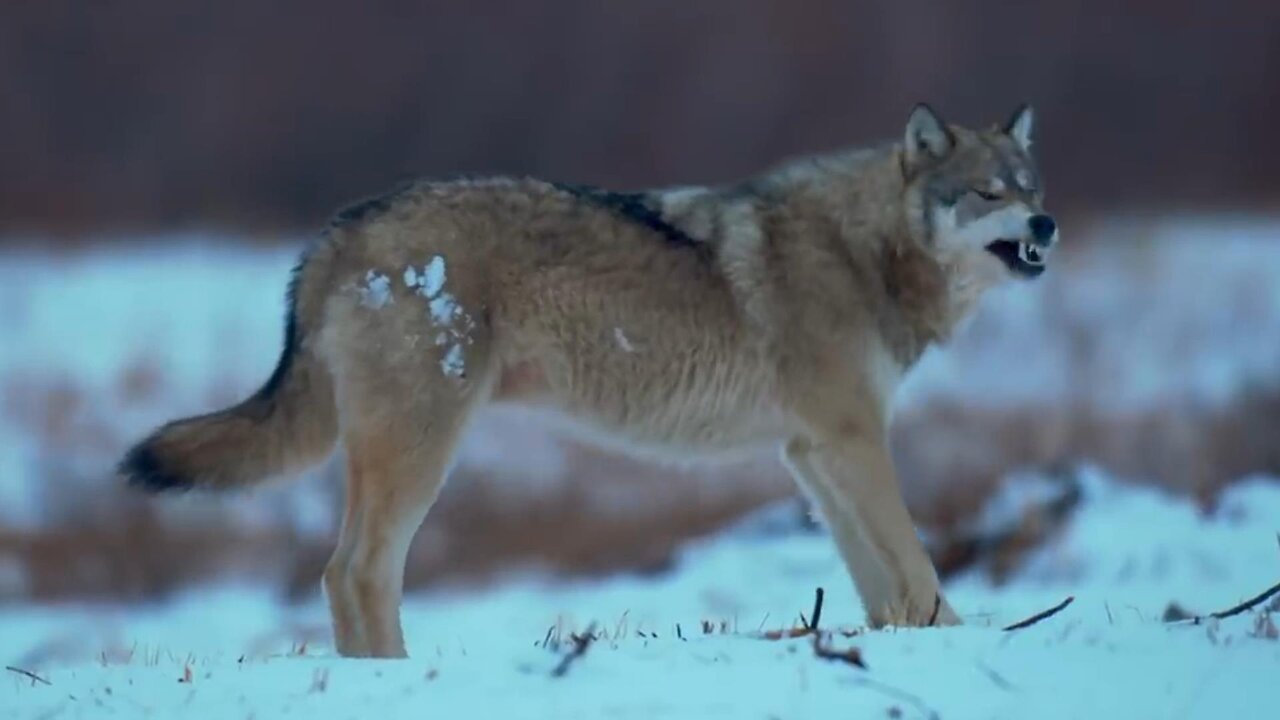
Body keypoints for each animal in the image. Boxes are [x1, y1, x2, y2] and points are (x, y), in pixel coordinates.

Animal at [117, 102, 1059, 655]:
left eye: (1032, 187)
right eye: (987, 194)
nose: (1047, 223)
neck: (871, 254)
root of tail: (339, 231)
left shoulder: (815, 454)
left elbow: (881, 584)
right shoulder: (854, 441)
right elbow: (919, 565)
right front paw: (964, 643)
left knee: (344, 576)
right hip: (421, 454)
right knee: (355, 574)